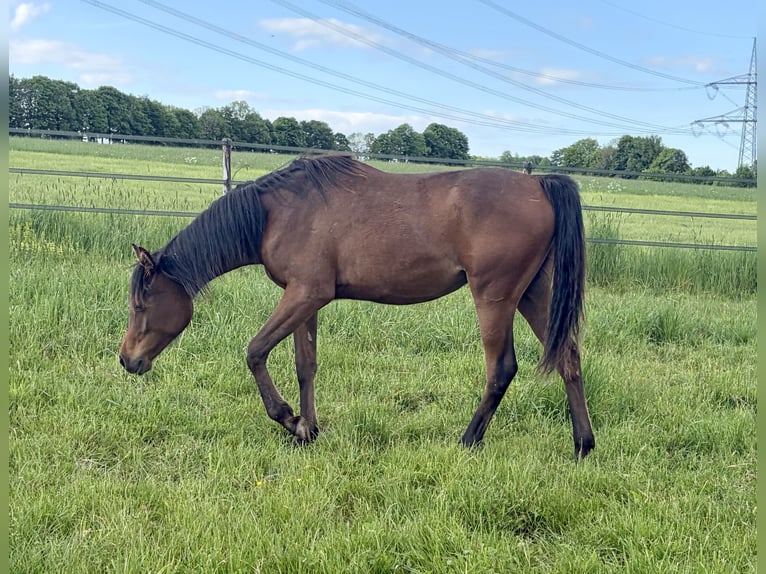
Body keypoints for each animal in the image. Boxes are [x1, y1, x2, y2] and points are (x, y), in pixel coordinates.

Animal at [119, 153, 595, 459]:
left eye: (141, 303)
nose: (127, 360)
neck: (278, 213)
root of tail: (538, 184)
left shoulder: (304, 294)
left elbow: (255, 352)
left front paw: (288, 418)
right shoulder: (306, 300)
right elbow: (305, 366)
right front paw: (307, 431)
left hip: (494, 297)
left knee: (501, 369)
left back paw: (467, 441)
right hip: (533, 294)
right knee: (568, 358)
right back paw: (582, 446)